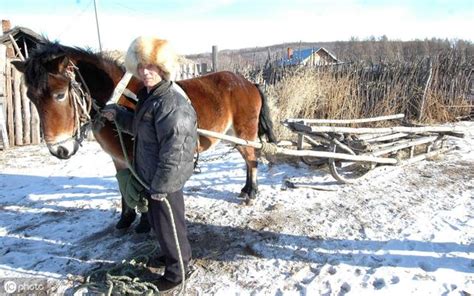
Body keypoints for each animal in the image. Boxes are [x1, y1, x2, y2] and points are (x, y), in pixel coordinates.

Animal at [11, 40, 276, 228]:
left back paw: (252, 192)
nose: (60, 150)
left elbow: (143, 189)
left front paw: (145, 225)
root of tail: (247, 82)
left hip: (245, 133)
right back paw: (246, 189)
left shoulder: (138, 157)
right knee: (247, 159)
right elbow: (123, 186)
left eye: (60, 94)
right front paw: (125, 220)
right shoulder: (119, 158)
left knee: (252, 159)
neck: (117, 98)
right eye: (31, 98)